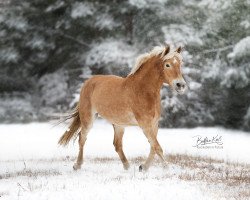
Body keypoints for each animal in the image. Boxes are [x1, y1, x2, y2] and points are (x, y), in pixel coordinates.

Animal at [58, 44, 187, 171]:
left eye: (180, 64)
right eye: (167, 65)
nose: (180, 85)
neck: (142, 90)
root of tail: (88, 82)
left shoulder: (154, 124)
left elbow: (153, 147)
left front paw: (143, 167)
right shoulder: (145, 124)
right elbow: (157, 147)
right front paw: (167, 168)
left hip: (119, 124)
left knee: (117, 145)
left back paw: (127, 166)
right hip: (88, 119)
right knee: (82, 138)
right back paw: (77, 165)